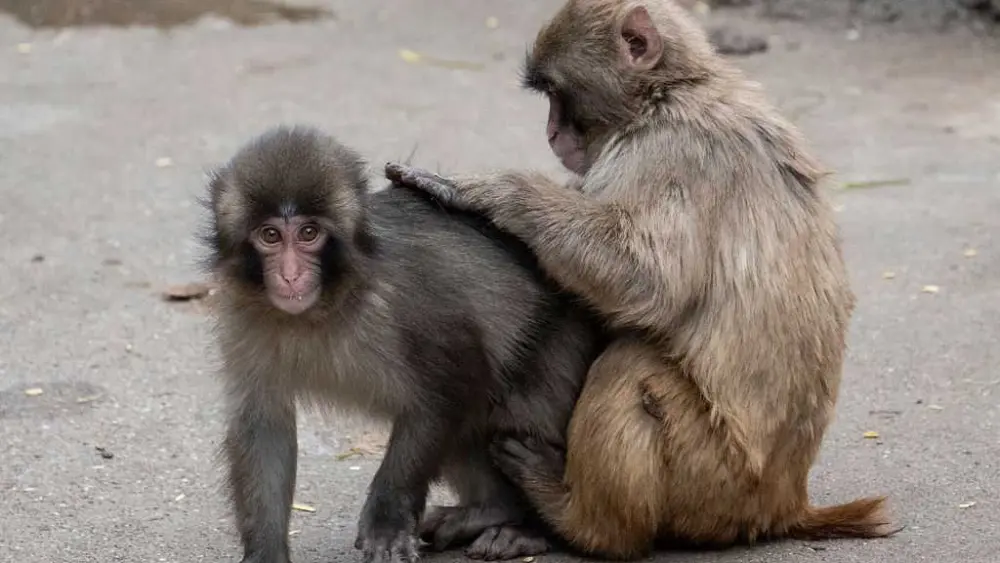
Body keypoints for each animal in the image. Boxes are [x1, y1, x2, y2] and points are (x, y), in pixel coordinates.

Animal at [202, 125, 604, 563]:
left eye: (309, 233)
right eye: (270, 236)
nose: (290, 275)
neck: (325, 305)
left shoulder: (408, 302)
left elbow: (453, 384)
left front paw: (387, 519)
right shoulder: (243, 318)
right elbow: (263, 425)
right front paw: (265, 552)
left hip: (562, 336)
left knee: (511, 396)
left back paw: (528, 526)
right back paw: (491, 510)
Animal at [384, 0, 896, 559]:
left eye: (557, 94)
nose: (551, 133)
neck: (669, 92)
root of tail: (785, 503)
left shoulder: (669, 151)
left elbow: (647, 282)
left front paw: (494, 190)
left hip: (714, 478)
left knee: (629, 366)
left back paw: (576, 520)